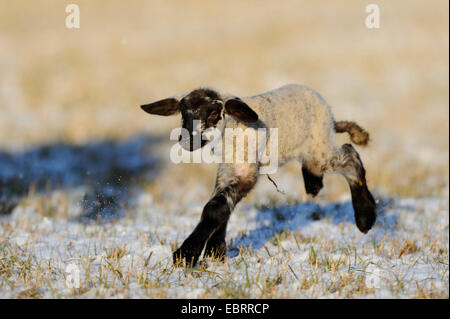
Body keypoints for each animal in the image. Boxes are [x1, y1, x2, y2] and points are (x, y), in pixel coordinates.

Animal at [142, 84, 376, 266]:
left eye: (212, 114)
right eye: (183, 113)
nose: (186, 141)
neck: (232, 130)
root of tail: (331, 115)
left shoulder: (246, 173)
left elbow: (214, 209)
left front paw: (186, 254)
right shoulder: (227, 171)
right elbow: (221, 206)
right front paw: (215, 251)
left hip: (320, 148)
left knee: (350, 156)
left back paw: (365, 217)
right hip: (315, 151)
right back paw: (313, 185)